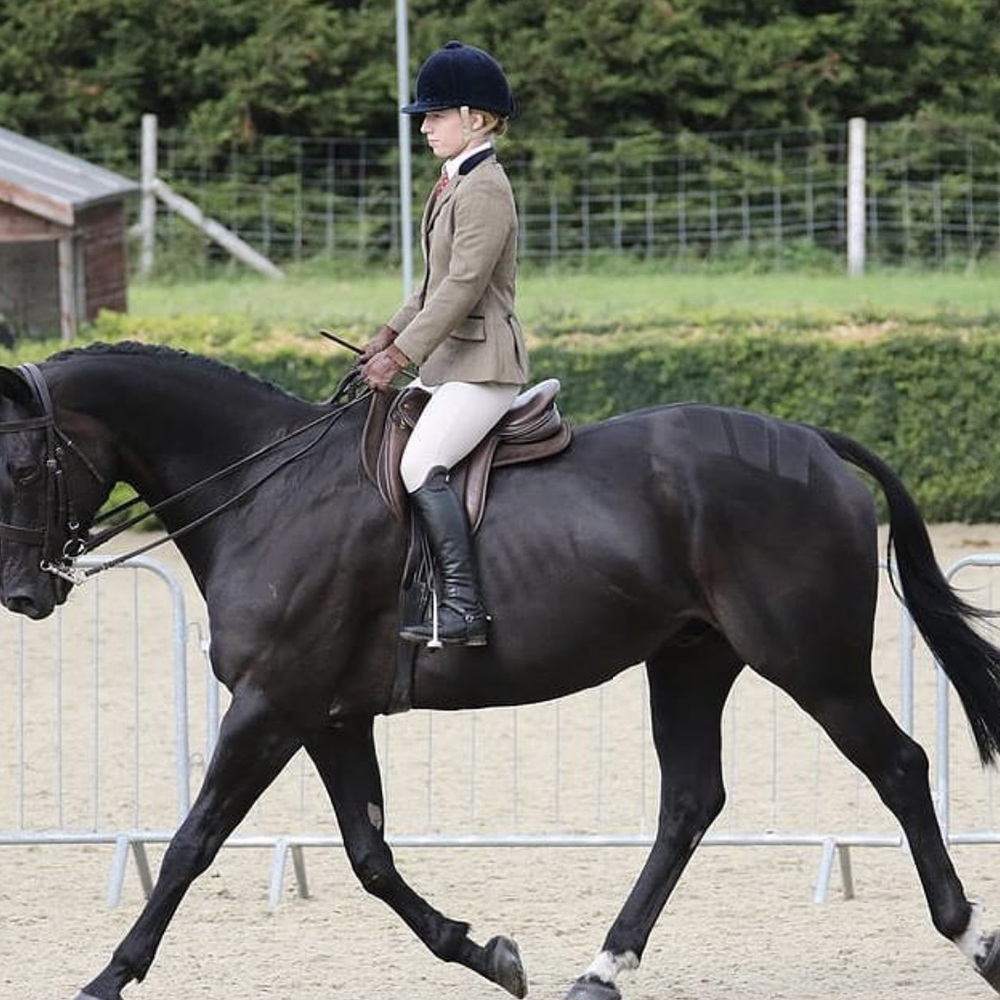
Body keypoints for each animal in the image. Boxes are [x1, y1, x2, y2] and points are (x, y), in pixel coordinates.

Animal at [2, 340, 1000, 1000]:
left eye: (18, 465)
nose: (21, 594)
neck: (267, 492)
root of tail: (812, 439)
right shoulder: (326, 716)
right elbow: (370, 856)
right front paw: (484, 952)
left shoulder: (270, 706)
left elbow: (190, 844)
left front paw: (107, 978)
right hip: (689, 661)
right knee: (690, 802)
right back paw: (601, 970)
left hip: (809, 661)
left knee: (899, 766)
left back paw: (974, 939)